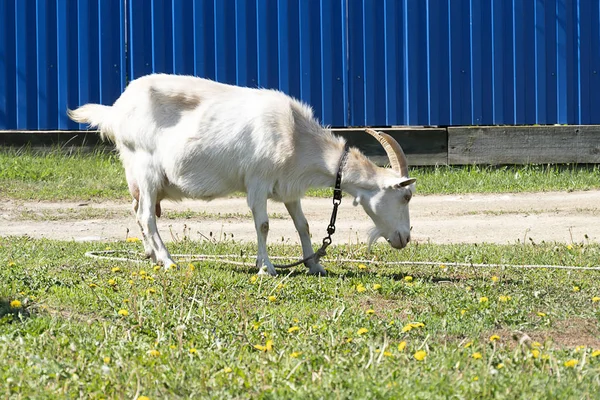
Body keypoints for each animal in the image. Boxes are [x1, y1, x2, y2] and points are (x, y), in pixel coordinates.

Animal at [68, 73, 414, 276]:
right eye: (406, 195)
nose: (406, 239)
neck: (295, 136)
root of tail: (117, 110)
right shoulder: (257, 181)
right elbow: (263, 225)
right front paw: (266, 267)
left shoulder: (288, 189)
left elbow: (302, 225)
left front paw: (314, 264)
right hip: (146, 168)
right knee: (146, 216)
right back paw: (167, 260)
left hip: (136, 175)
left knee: (137, 210)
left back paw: (151, 255)